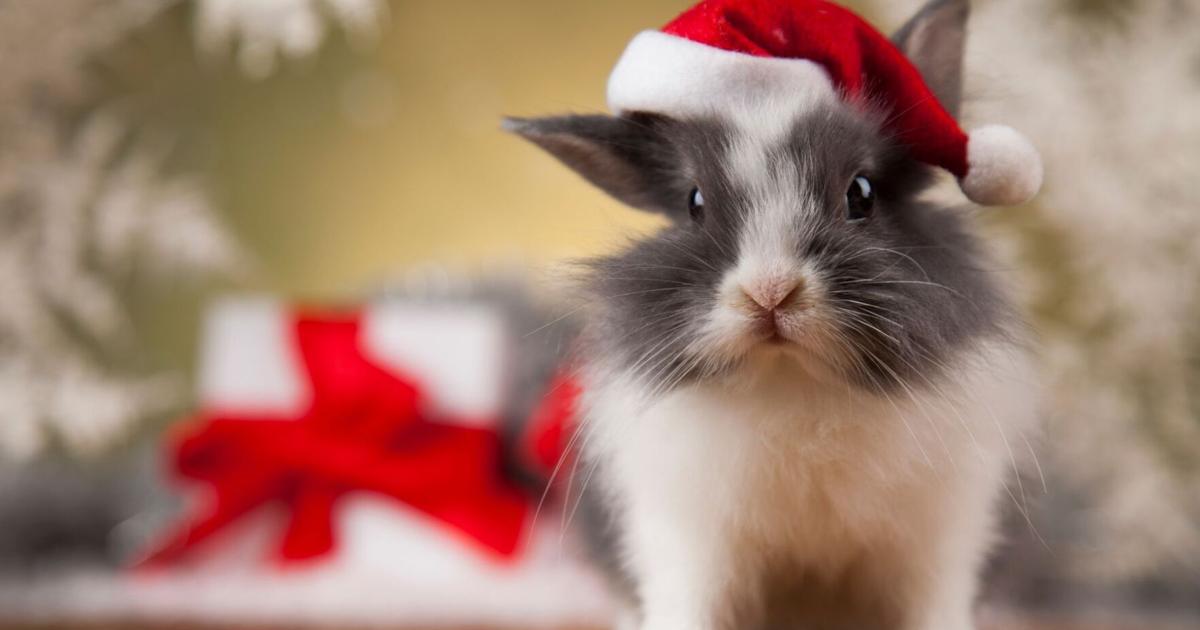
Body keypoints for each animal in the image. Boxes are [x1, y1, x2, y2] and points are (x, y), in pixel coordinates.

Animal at [506, 0, 1038, 628]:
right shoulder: (684, 541)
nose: (770, 292)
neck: (791, 380)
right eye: (694, 203)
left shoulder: (936, 537)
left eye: (862, 194)